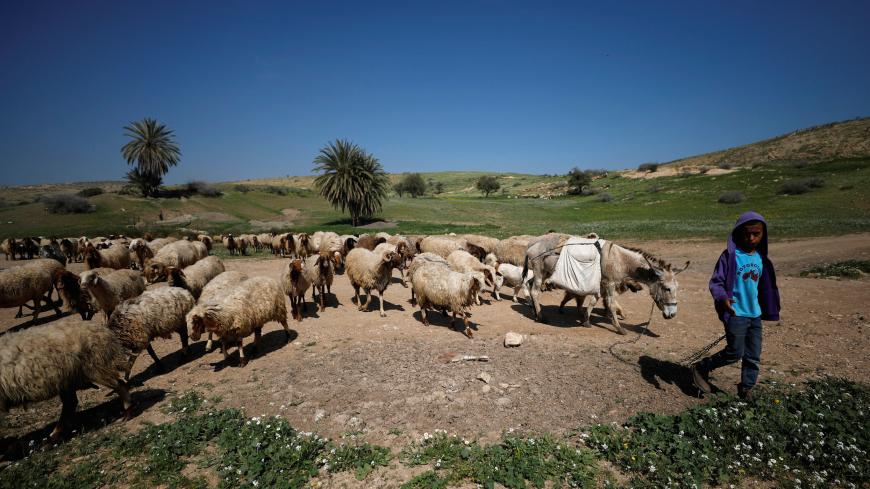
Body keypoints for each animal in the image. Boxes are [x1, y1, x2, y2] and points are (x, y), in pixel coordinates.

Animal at [0, 321, 134, 441]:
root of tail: (102, 330)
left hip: (95, 367)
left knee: (120, 385)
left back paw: (127, 412)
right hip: (67, 379)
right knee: (70, 403)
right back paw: (55, 435)